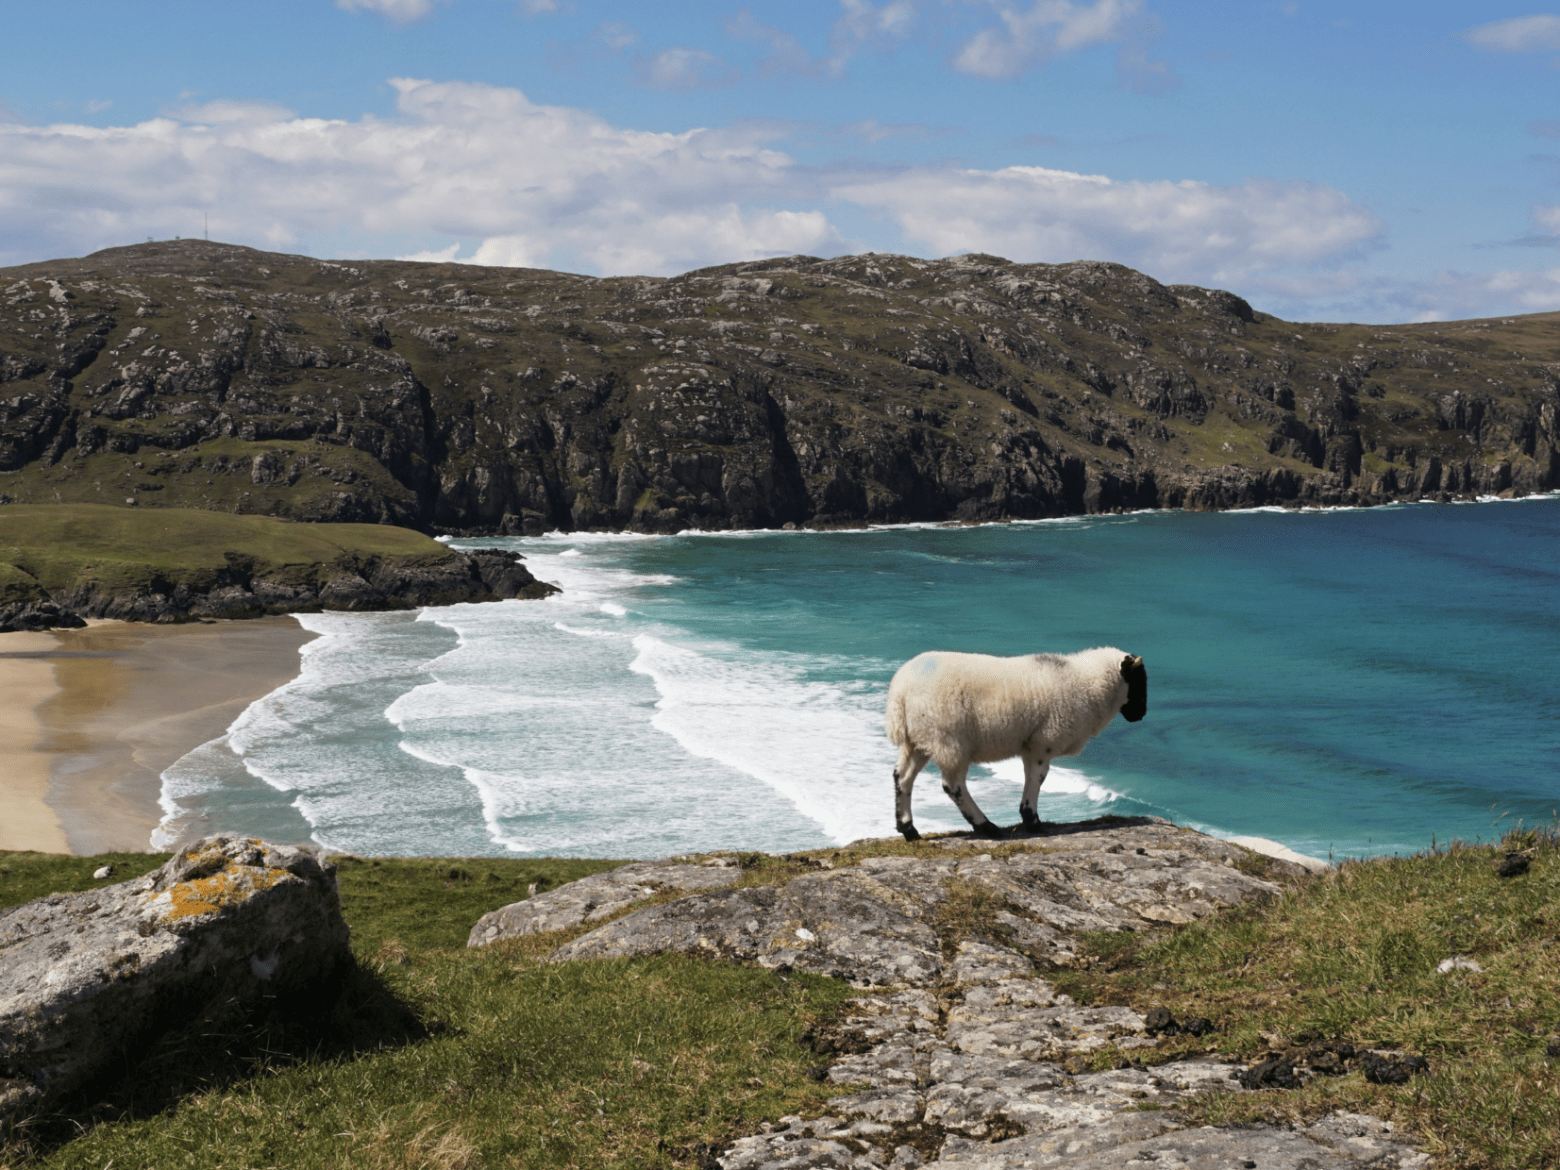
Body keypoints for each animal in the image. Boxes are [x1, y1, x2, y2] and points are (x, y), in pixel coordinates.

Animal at [884, 646, 1147, 841]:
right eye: (1138, 680)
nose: (1141, 715)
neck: (1084, 682)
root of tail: (900, 691)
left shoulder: (1031, 744)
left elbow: (1031, 777)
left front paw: (1028, 817)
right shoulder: (1043, 742)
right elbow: (1037, 779)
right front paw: (1033, 821)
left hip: (919, 740)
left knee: (902, 777)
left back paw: (909, 830)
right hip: (948, 740)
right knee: (953, 786)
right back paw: (986, 827)